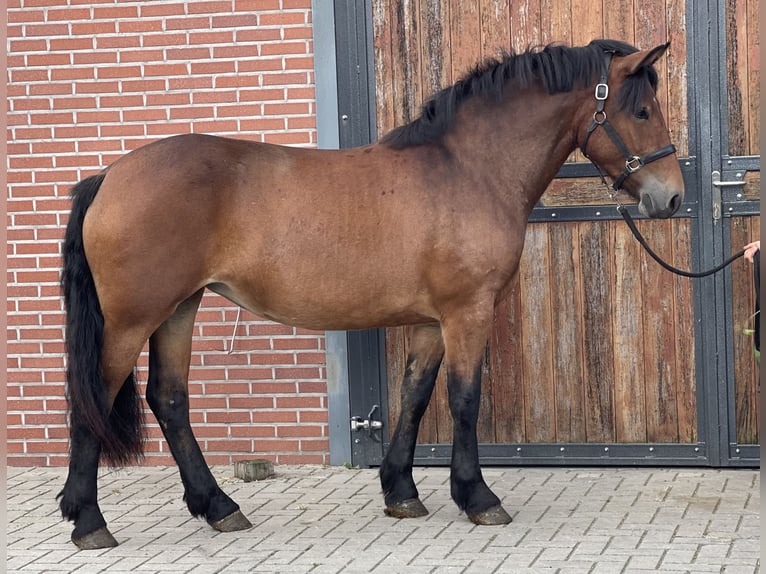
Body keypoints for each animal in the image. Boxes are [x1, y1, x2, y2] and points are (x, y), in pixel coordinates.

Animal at [58, 40, 684, 548]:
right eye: (642, 111)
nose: (672, 197)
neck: (467, 170)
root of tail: (109, 176)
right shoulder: (468, 311)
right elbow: (464, 399)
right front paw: (478, 497)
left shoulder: (432, 321)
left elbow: (415, 396)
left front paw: (402, 492)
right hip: (132, 319)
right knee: (94, 398)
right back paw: (90, 521)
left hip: (178, 310)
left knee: (169, 400)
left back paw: (218, 507)